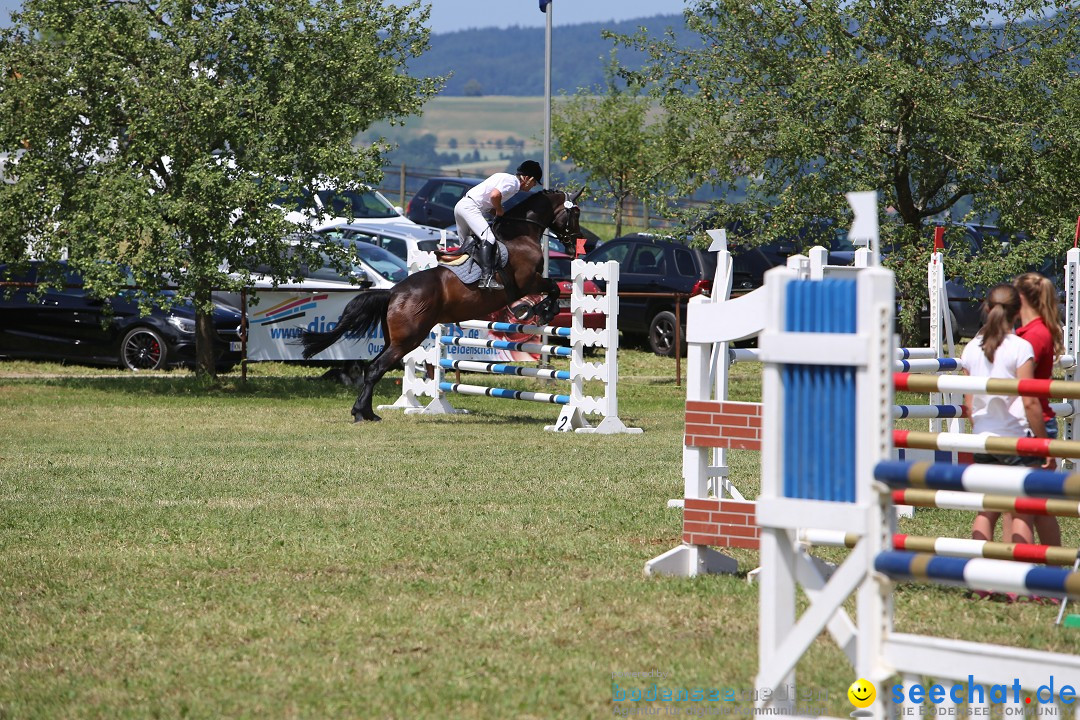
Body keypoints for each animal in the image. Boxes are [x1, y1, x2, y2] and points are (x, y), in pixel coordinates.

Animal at [300, 187, 587, 423]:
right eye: (575, 213)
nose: (577, 242)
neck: (521, 235)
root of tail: (393, 292)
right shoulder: (528, 281)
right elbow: (552, 288)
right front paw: (542, 311)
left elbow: (549, 290)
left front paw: (535, 310)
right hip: (407, 339)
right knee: (375, 369)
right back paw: (362, 413)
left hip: (394, 339)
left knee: (374, 367)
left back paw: (367, 412)